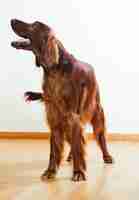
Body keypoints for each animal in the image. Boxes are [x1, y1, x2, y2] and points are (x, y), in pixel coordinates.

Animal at [10, 18, 113, 181]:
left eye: (34, 25)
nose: (12, 20)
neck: (54, 70)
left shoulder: (72, 116)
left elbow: (78, 145)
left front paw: (78, 172)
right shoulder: (55, 117)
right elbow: (55, 150)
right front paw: (50, 171)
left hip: (96, 112)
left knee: (100, 137)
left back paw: (107, 156)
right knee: (75, 140)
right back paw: (70, 157)